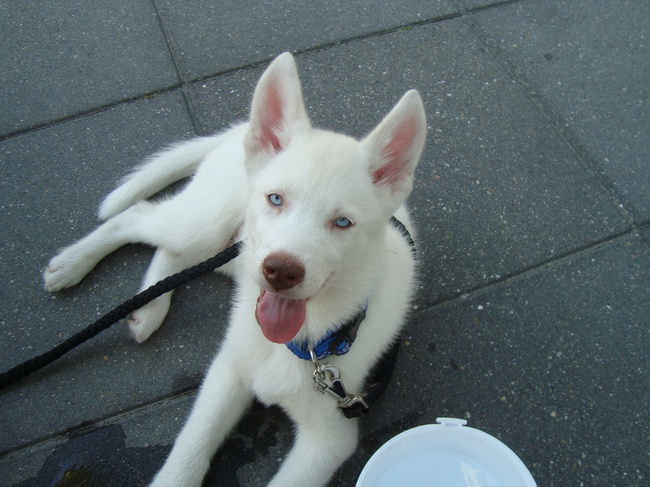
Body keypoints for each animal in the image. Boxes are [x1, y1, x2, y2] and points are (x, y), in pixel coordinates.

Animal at [44, 52, 426, 487]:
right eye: (275, 199)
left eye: (342, 222)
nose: (281, 271)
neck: (305, 344)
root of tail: (240, 131)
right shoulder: (227, 370)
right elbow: (190, 449)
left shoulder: (330, 435)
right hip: (209, 227)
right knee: (138, 217)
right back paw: (72, 266)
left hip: (231, 253)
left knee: (171, 253)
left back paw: (147, 309)